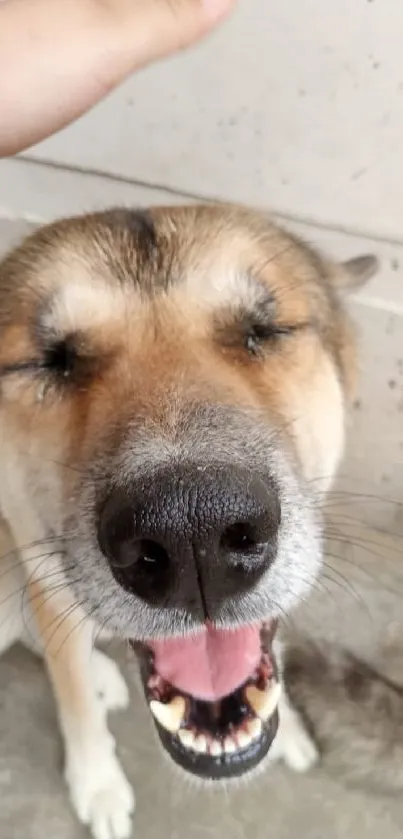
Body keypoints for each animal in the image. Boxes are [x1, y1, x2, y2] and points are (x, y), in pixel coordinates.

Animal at [0, 205, 378, 839]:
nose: (191, 535)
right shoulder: (43, 575)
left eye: (264, 332)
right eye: (51, 359)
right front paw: (97, 782)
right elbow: (72, 698)